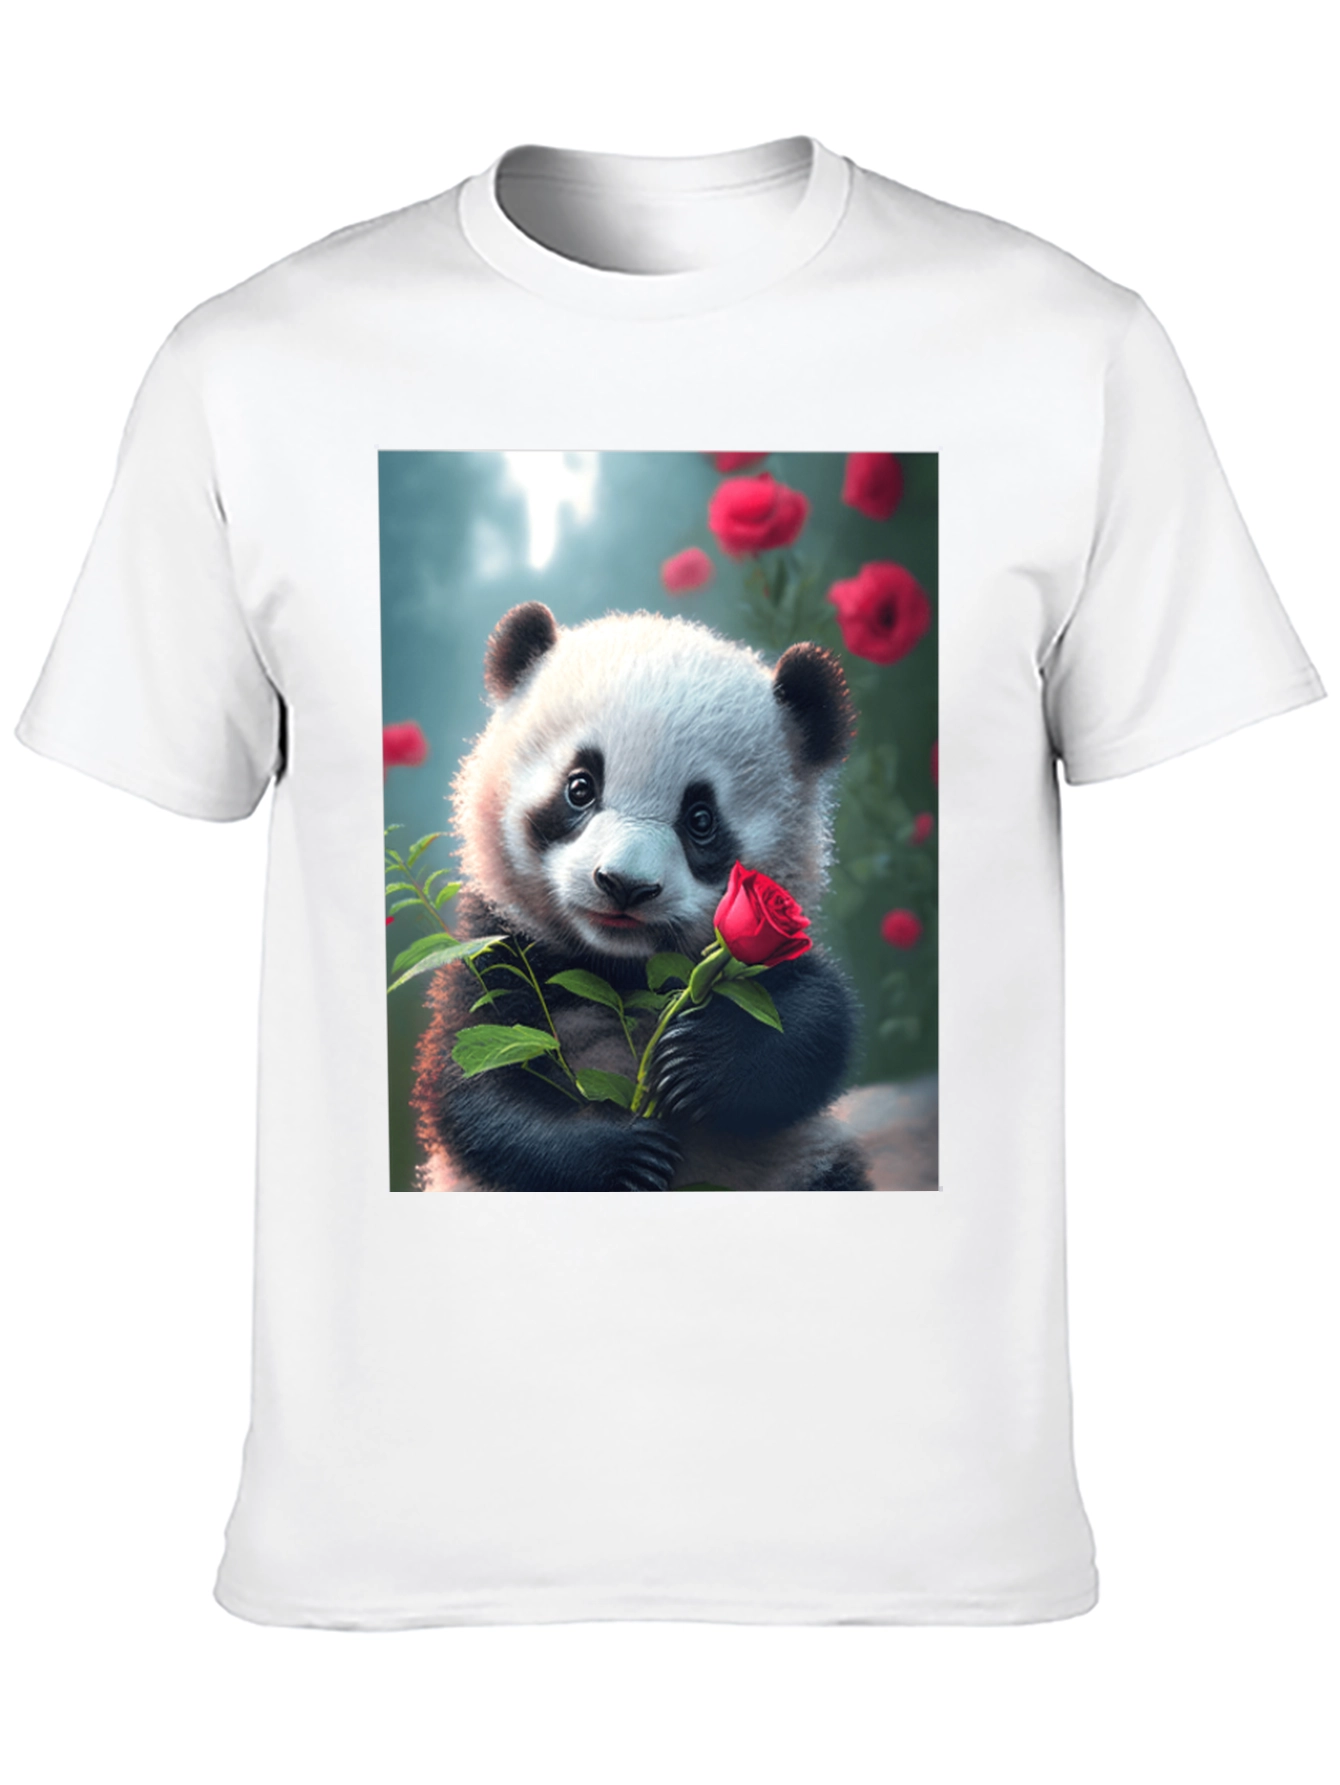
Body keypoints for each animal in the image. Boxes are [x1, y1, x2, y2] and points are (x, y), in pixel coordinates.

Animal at [411, 601, 873, 1193]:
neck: (620, 967)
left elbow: (816, 1024)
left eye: (701, 819)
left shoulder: (766, 946)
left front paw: (694, 1063)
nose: (625, 884)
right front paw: (625, 1154)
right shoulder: (499, 948)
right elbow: (474, 1082)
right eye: (580, 787)